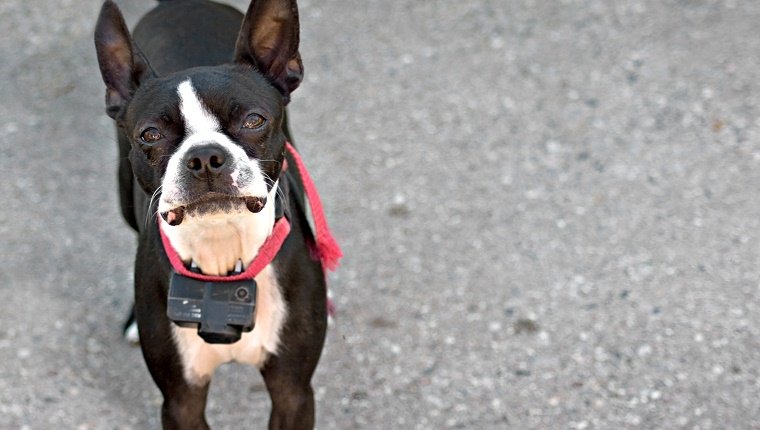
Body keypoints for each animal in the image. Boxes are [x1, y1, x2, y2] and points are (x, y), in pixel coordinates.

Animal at [94, 0, 342, 426]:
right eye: (150, 135)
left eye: (254, 120)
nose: (205, 157)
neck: (222, 246)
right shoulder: (181, 400)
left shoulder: (292, 391)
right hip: (124, 195)